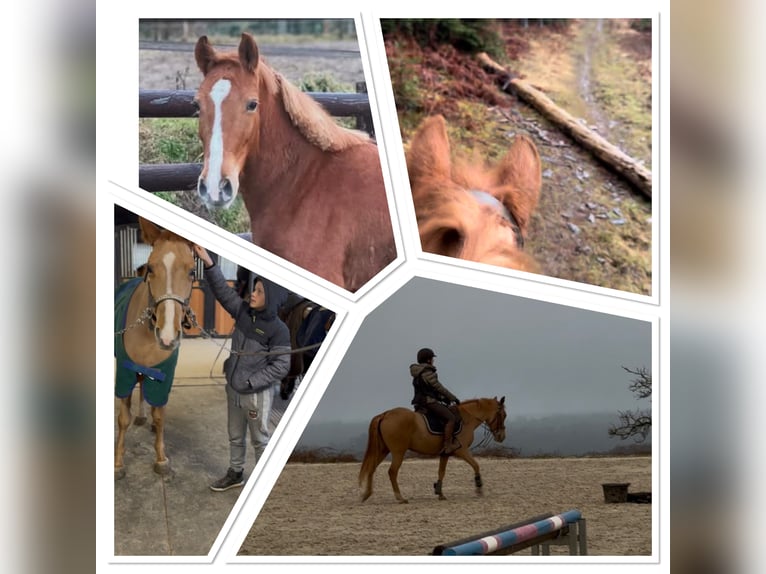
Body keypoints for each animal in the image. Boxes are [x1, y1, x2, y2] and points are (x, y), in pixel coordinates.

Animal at [114, 217, 196, 479]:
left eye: (192, 271)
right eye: (150, 268)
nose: (168, 336)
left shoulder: (164, 374)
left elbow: (160, 416)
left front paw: (161, 458)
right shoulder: (125, 369)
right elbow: (123, 418)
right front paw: (118, 463)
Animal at [359, 396, 507, 504]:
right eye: (503, 415)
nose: (501, 437)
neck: (466, 419)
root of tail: (386, 414)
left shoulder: (445, 454)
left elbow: (441, 472)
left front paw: (440, 492)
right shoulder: (462, 451)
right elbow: (476, 465)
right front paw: (479, 488)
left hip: (383, 451)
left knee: (372, 468)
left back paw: (366, 494)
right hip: (398, 452)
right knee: (392, 472)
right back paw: (400, 497)